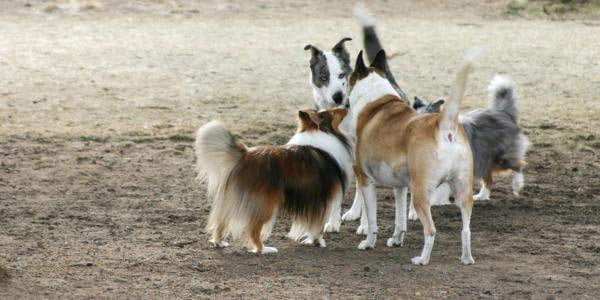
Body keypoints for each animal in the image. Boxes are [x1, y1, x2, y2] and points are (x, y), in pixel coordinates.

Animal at [195, 108, 352, 253]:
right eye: (333, 111)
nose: (346, 107)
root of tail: (246, 155)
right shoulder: (325, 198)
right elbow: (319, 225)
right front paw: (318, 241)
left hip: (235, 200)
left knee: (221, 221)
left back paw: (218, 242)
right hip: (266, 204)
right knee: (253, 229)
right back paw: (264, 249)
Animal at [342, 50, 478, 266]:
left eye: (347, 79)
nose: (340, 97)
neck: (375, 104)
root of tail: (444, 126)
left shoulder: (366, 180)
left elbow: (372, 221)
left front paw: (368, 243)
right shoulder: (400, 187)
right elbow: (400, 220)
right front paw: (396, 240)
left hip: (420, 192)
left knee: (430, 230)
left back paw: (422, 259)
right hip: (463, 191)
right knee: (466, 230)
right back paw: (466, 258)